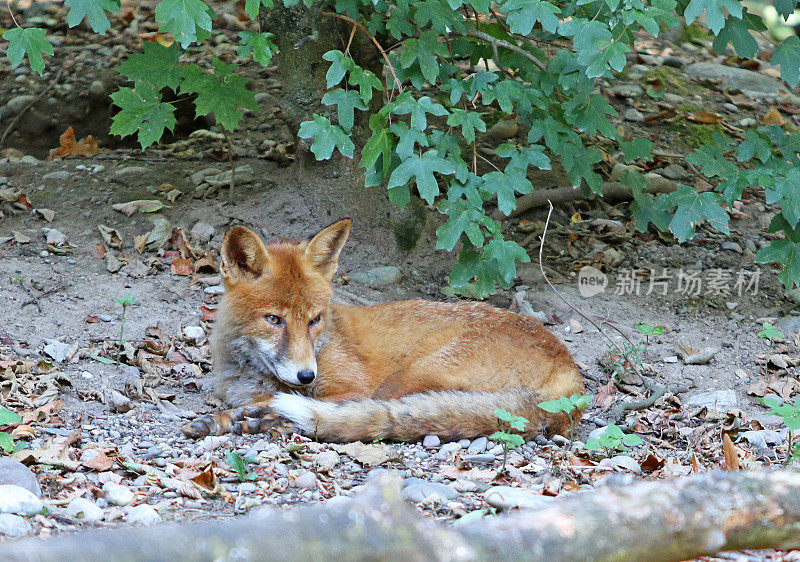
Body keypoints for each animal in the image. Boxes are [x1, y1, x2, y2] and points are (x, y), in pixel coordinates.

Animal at [181, 219, 584, 442]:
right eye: (274, 320)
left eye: (314, 319)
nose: (307, 375)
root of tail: (569, 366)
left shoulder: (352, 388)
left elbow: (278, 403)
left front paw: (232, 419)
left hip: (404, 380)